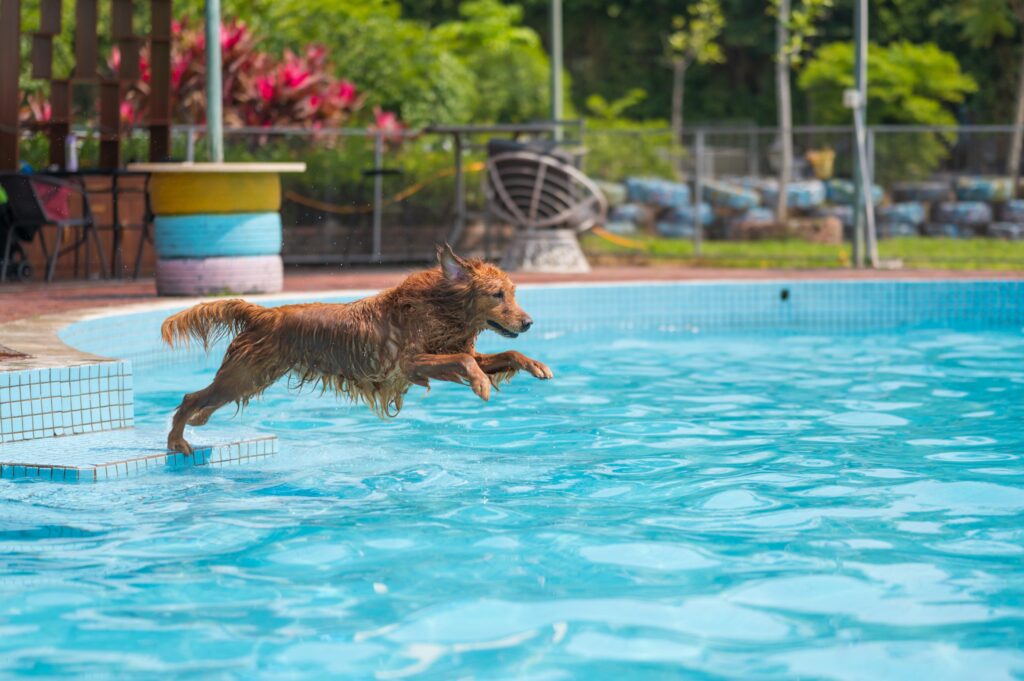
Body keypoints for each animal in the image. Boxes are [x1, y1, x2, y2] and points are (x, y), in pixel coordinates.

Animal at [161, 242, 552, 450]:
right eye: (496, 295)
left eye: (513, 293)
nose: (528, 323)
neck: (439, 308)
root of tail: (263, 312)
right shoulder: (411, 364)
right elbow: (465, 363)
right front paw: (481, 384)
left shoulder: (456, 352)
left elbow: (506, 354)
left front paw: (535, 364)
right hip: (243, 375)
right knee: (190, 397)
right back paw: (177, 440)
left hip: (252, 378)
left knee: (205, 400)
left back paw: (198, 422)